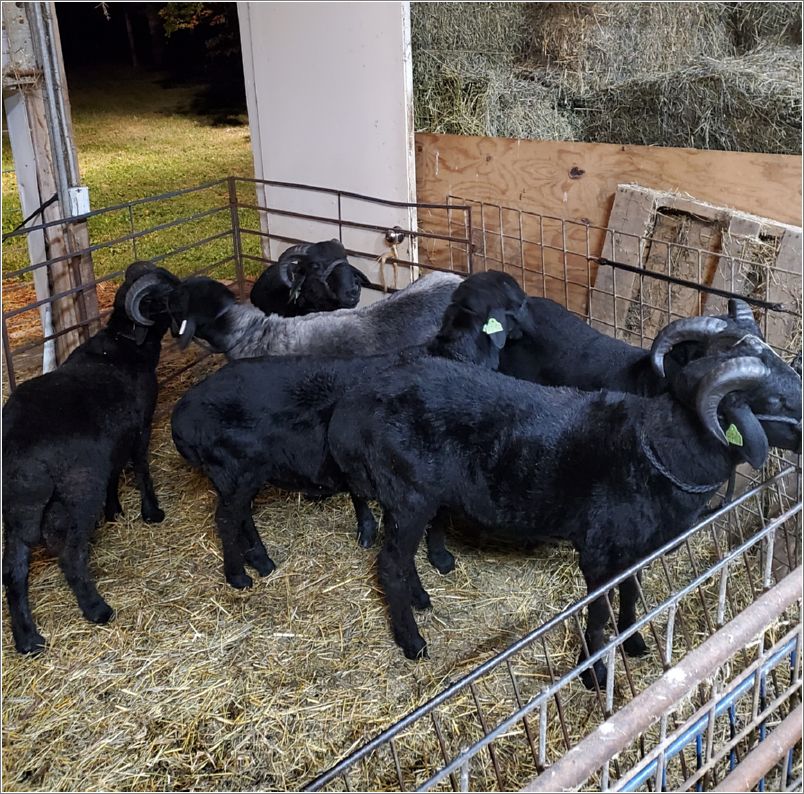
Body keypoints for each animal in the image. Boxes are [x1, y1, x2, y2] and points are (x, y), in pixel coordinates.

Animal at [1, 262, 180, 652]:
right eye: (169, 293)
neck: (126, 346)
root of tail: (20, 454)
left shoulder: (110, 443)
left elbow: (116, 471)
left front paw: (115, 511)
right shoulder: (140, 425)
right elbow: (140, 466)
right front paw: (151, 512)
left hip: (18, 508)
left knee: (14, 569)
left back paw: (28, 639)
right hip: (80, 489)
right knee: (70, 556)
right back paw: (97, 609)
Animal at [326, 312, 796, 684]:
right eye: (773, 398)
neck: (656, 450)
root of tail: (364, 398)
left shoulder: (638, 550)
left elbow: (632, 595)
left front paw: (635, 643)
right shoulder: (598, 551)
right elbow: (599, 613)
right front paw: (595, 674)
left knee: (403, 558)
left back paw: (421, 599)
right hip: (409, 494)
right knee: (390, 563)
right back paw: (412, 641)